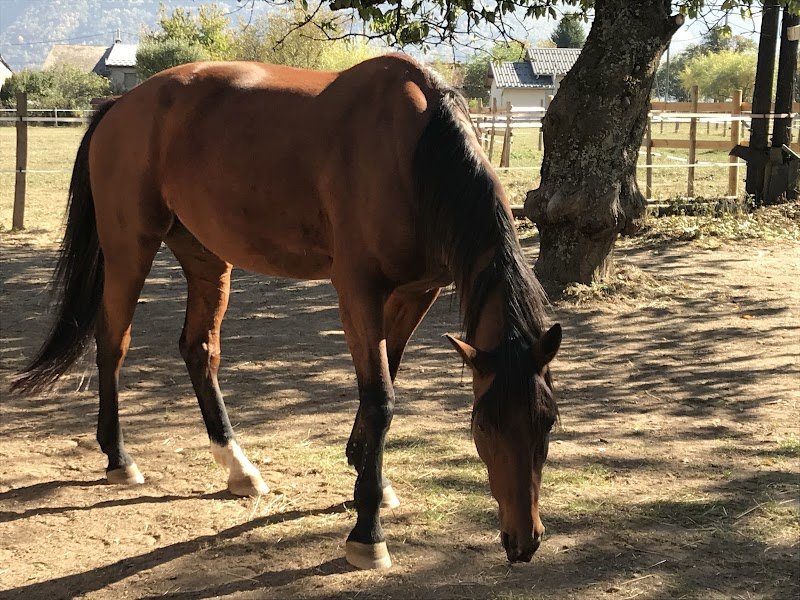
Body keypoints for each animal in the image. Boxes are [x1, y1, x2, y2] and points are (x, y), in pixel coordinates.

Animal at [12, 54, 562, 569]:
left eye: (548, 422)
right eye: (483, 426)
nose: (524, 541)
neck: (413, 153)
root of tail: (121, 105)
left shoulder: (414, 294)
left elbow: (386, 381)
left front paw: (367, 473)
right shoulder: (357, 291)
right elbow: (380, 399)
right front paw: (367, 532)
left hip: (205, 256)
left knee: (199, 350)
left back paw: (238, 468)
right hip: (130, 249)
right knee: (113, 343)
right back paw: (119, 458)